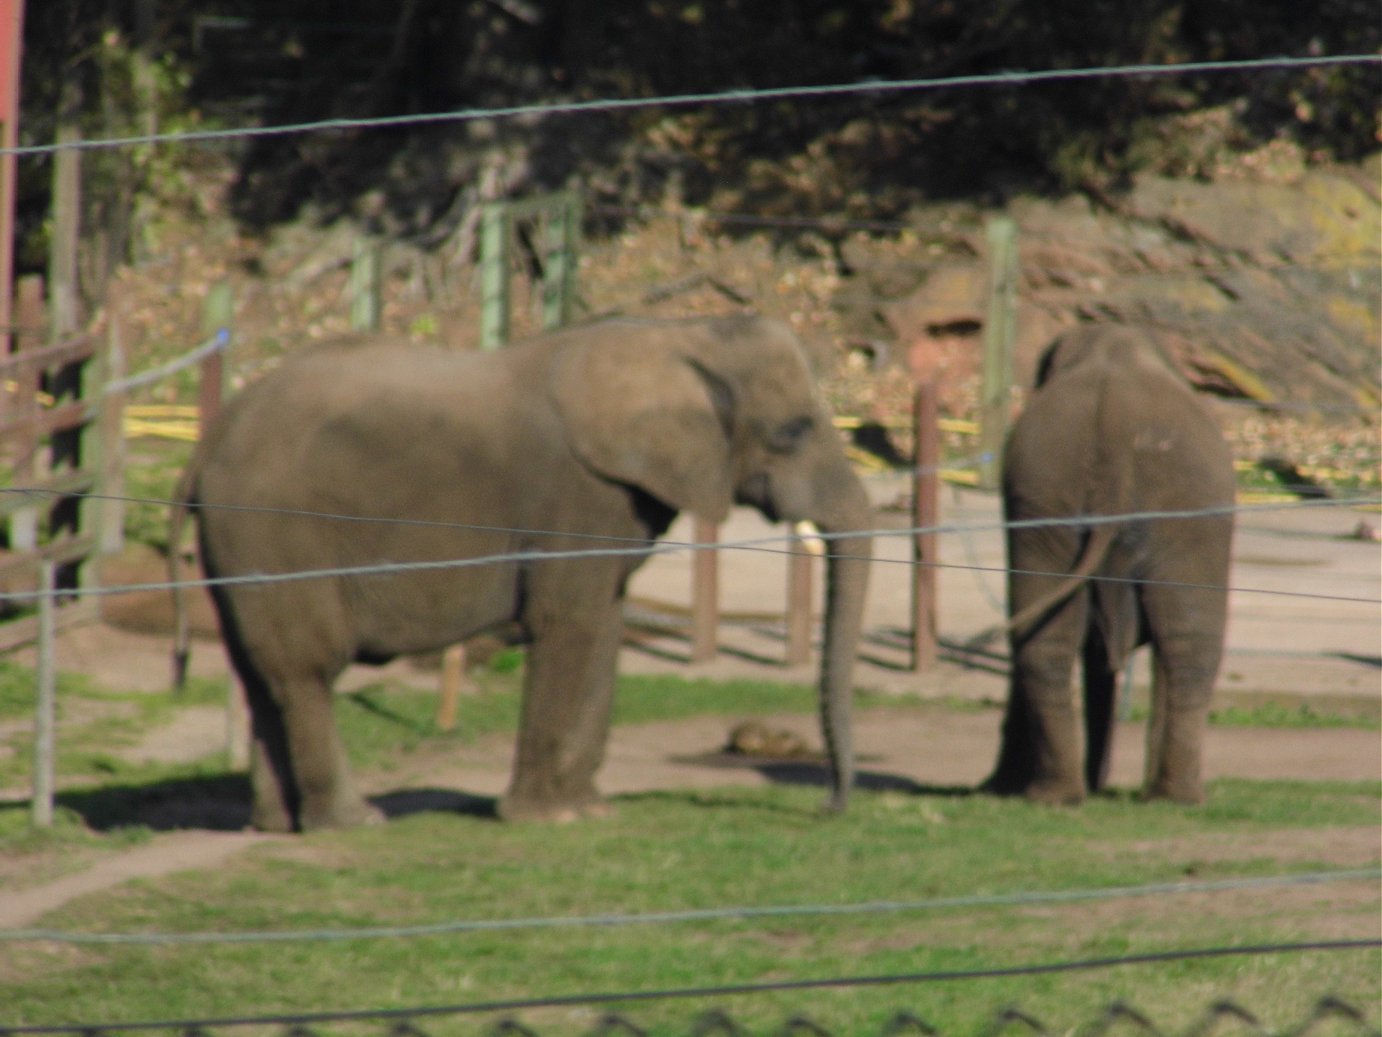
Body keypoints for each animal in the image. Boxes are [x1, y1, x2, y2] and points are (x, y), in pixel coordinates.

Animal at [167, 312, 867, 835]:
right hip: (274, 531)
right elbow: (569, 623)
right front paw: (546, 819)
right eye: (792, 432)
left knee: (260, 674)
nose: (826, 807)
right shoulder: (577, 495)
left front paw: (588, 811)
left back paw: (276, 826)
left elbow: (605, 623)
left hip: (238, 545)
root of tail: (208, 442)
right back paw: (352, 823)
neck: (677, 337)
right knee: (305, 670)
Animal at [983, 324, 1232, 801]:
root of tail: (1114, 437)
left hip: (1049, 503)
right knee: (1190, 644)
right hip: (1176, 511)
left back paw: (1065, 797)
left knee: (1044, 639)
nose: (1100, 782)